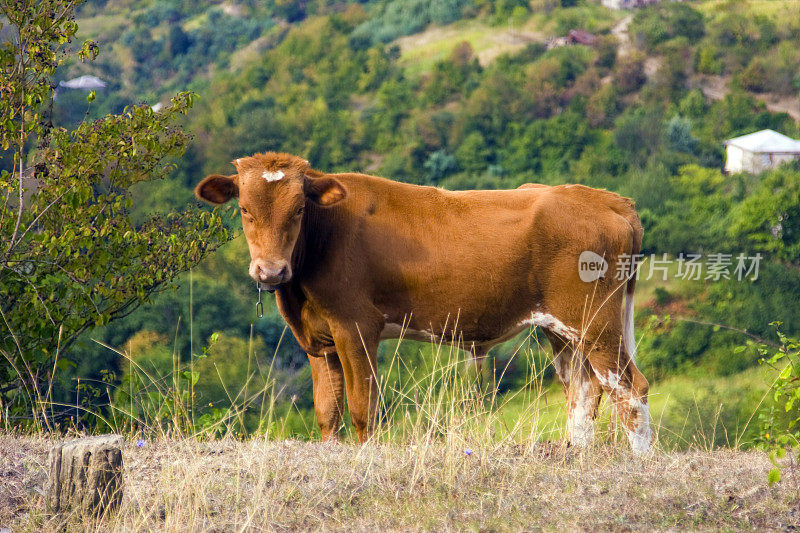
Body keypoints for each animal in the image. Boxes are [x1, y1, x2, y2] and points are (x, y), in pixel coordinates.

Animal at [195, 152, 648, 450]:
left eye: (298, 211)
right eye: (244, 209)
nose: (270, 271)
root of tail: (604, 198)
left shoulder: (356, 327)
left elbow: (362, 406)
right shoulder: (318, 339)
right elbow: (327, 410)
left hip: (596, 321)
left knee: (630, 388)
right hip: (563, 328)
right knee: (584, 390)